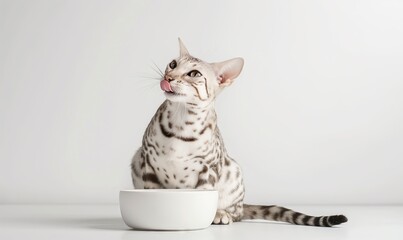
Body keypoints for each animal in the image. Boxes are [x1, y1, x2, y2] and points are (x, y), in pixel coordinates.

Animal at [131, 38, 348, 226]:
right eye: (173, 64)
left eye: (194, 74)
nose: (168, 77)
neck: (181, 121)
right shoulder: (148, 162)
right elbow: (152, 192)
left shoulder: (208, 169)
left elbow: (204, 197)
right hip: (136, 158)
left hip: (233, 170)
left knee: (236, 213)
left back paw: (221, 214)